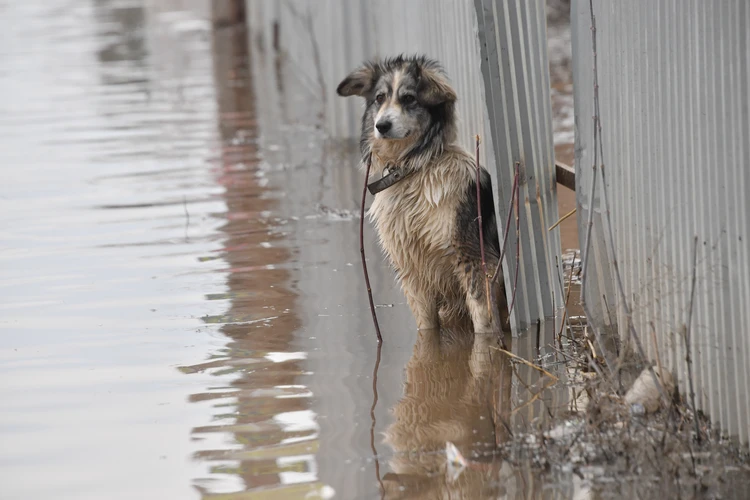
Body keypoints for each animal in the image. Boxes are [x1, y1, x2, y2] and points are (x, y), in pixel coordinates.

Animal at [340, 54, 512, 334]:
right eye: (379, 98)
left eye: (409, 98)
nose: (381, 125)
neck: (415, 170)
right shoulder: (411, 271)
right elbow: (427, 327)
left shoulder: (472, 257)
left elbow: (483, 318)